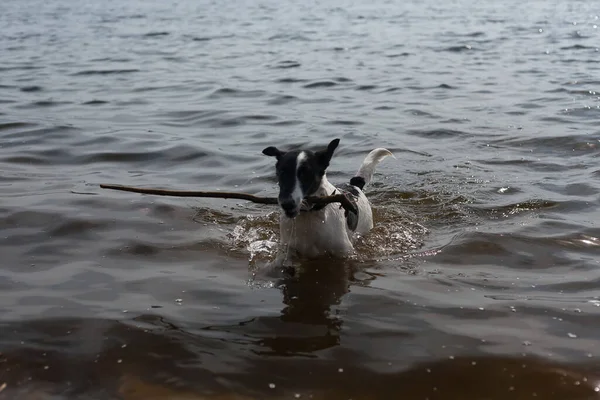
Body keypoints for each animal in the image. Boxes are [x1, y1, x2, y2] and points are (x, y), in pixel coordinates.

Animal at [262, 139, 394, 268]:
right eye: (281, 172)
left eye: (306, 174)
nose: (287, 203)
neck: (309, 213)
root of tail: (354, 186)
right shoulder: (287, 248)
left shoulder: (344, 252)